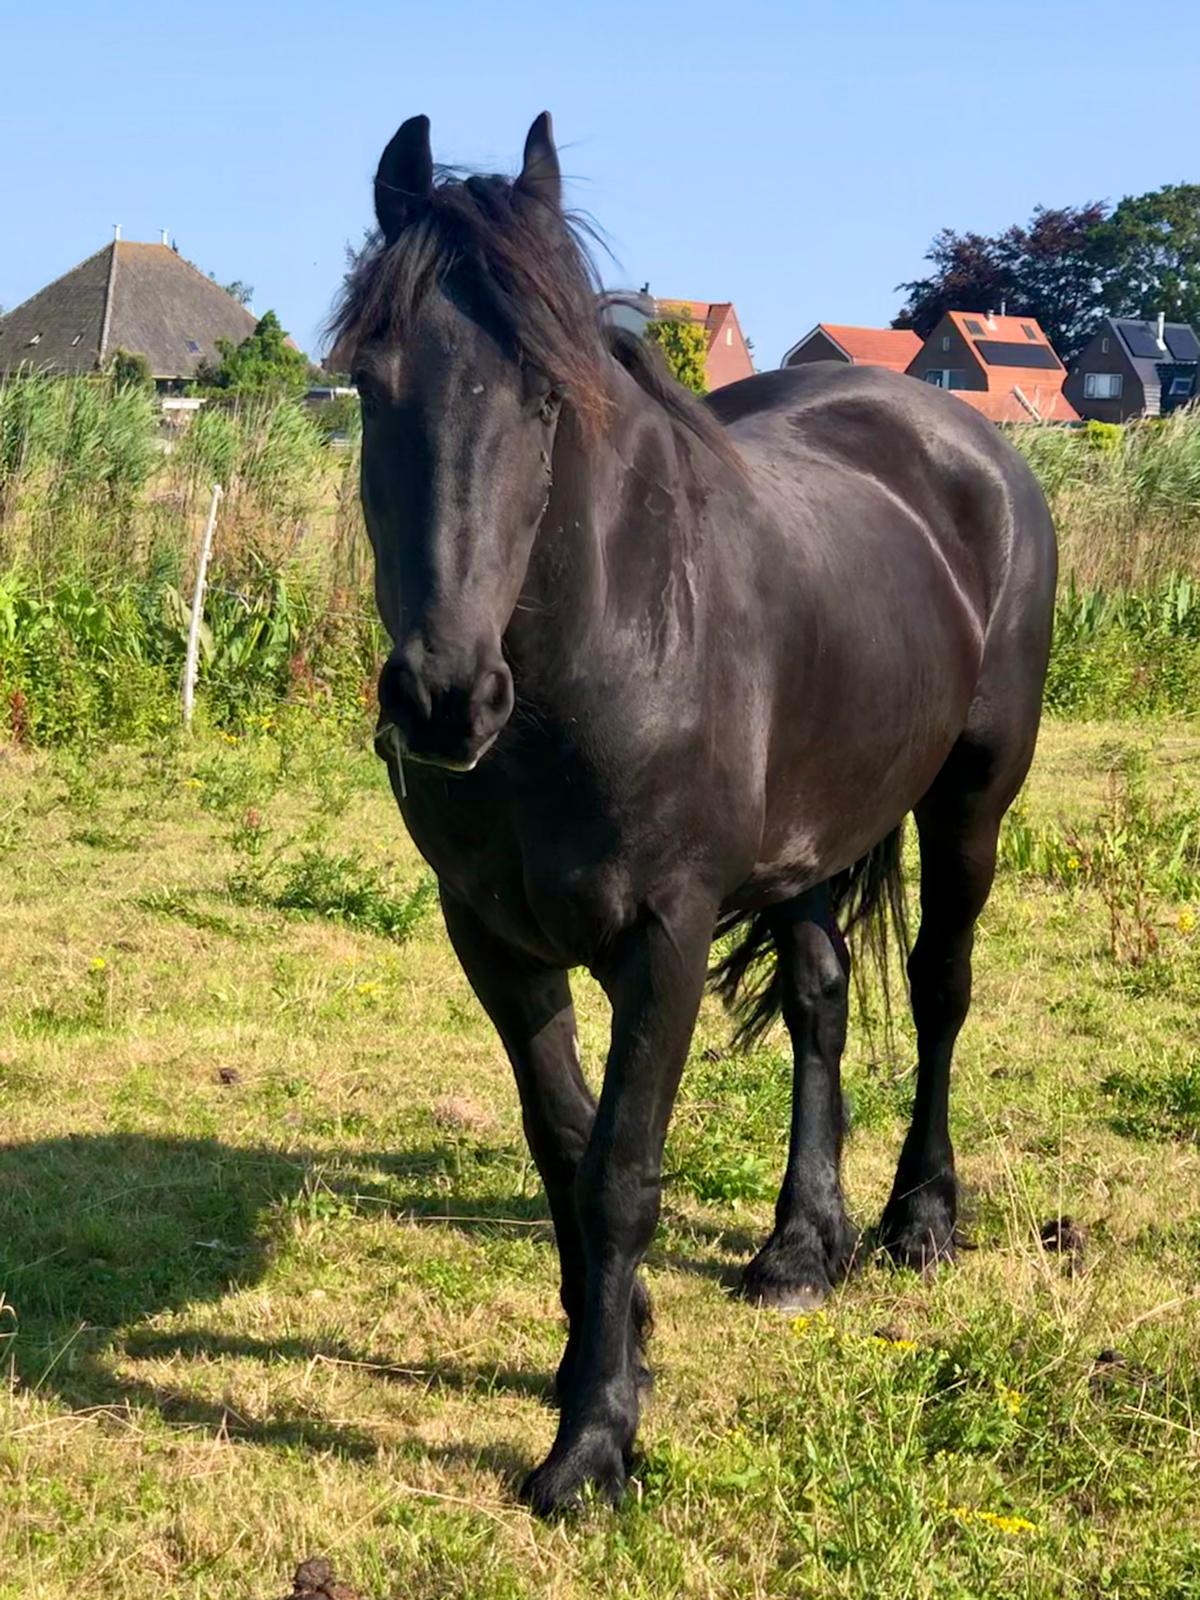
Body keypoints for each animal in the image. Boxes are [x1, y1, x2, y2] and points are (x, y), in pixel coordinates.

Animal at [330, 111, 1057, 1515]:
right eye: (369, 384)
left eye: (547, 398)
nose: (445, 700)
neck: (599, 655)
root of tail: (965, 441)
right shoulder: (488, 934)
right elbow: (561, 1144)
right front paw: (613, 1344)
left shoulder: (661, 937)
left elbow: (621, 1171)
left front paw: (594, 1441)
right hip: (817, 832)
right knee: (824, 998)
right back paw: (800, 1247)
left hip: (972, 799)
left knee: (940, 989)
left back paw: (919, 1220)